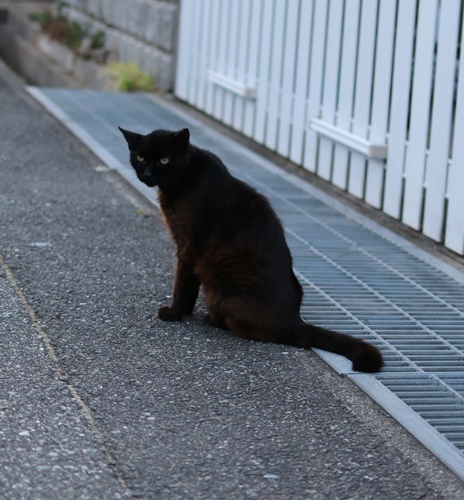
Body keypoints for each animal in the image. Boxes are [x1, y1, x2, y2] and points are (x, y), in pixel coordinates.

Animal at [120, 127, 384, 374]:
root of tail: (294, 321)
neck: (182, 180)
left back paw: (212, 319)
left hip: (221, 287)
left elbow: (182, 285)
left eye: (164, 160)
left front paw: (174, 313)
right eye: (141, 158)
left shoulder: (187, 247)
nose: (147, 173)